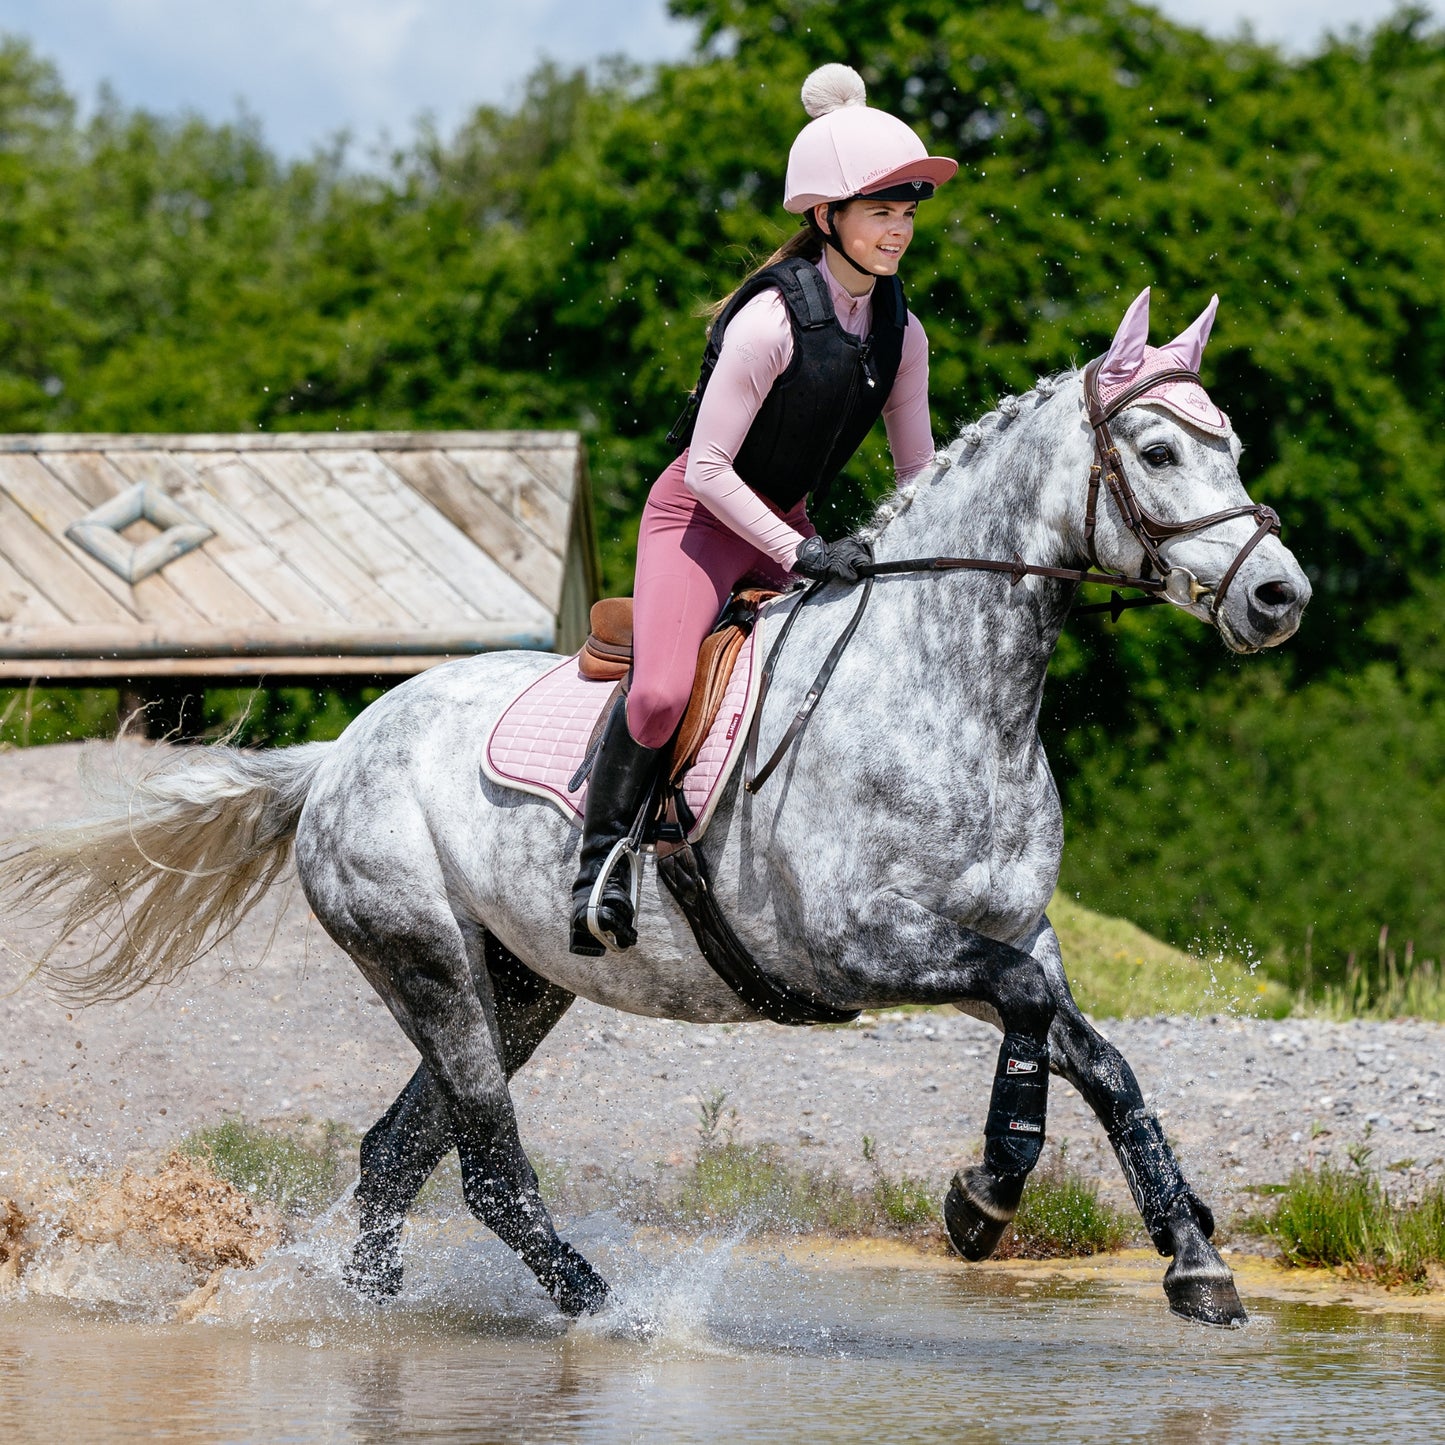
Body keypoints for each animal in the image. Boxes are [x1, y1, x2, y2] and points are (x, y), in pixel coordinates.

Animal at [0, 293, 1312, 1329]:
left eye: (1231, 445)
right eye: (1155, 450)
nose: (1277, 595)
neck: (945, 685)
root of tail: (342, 751)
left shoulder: (1006, 931)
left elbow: (1097, 1055)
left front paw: (1190, 1257)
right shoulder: (857, 946)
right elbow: (1035, 1014)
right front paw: (983, 1197)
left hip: (517, 982)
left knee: (393, 1156)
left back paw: (368, 1307)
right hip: (425, 957)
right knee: (484, 1168)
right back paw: (606, 1309)